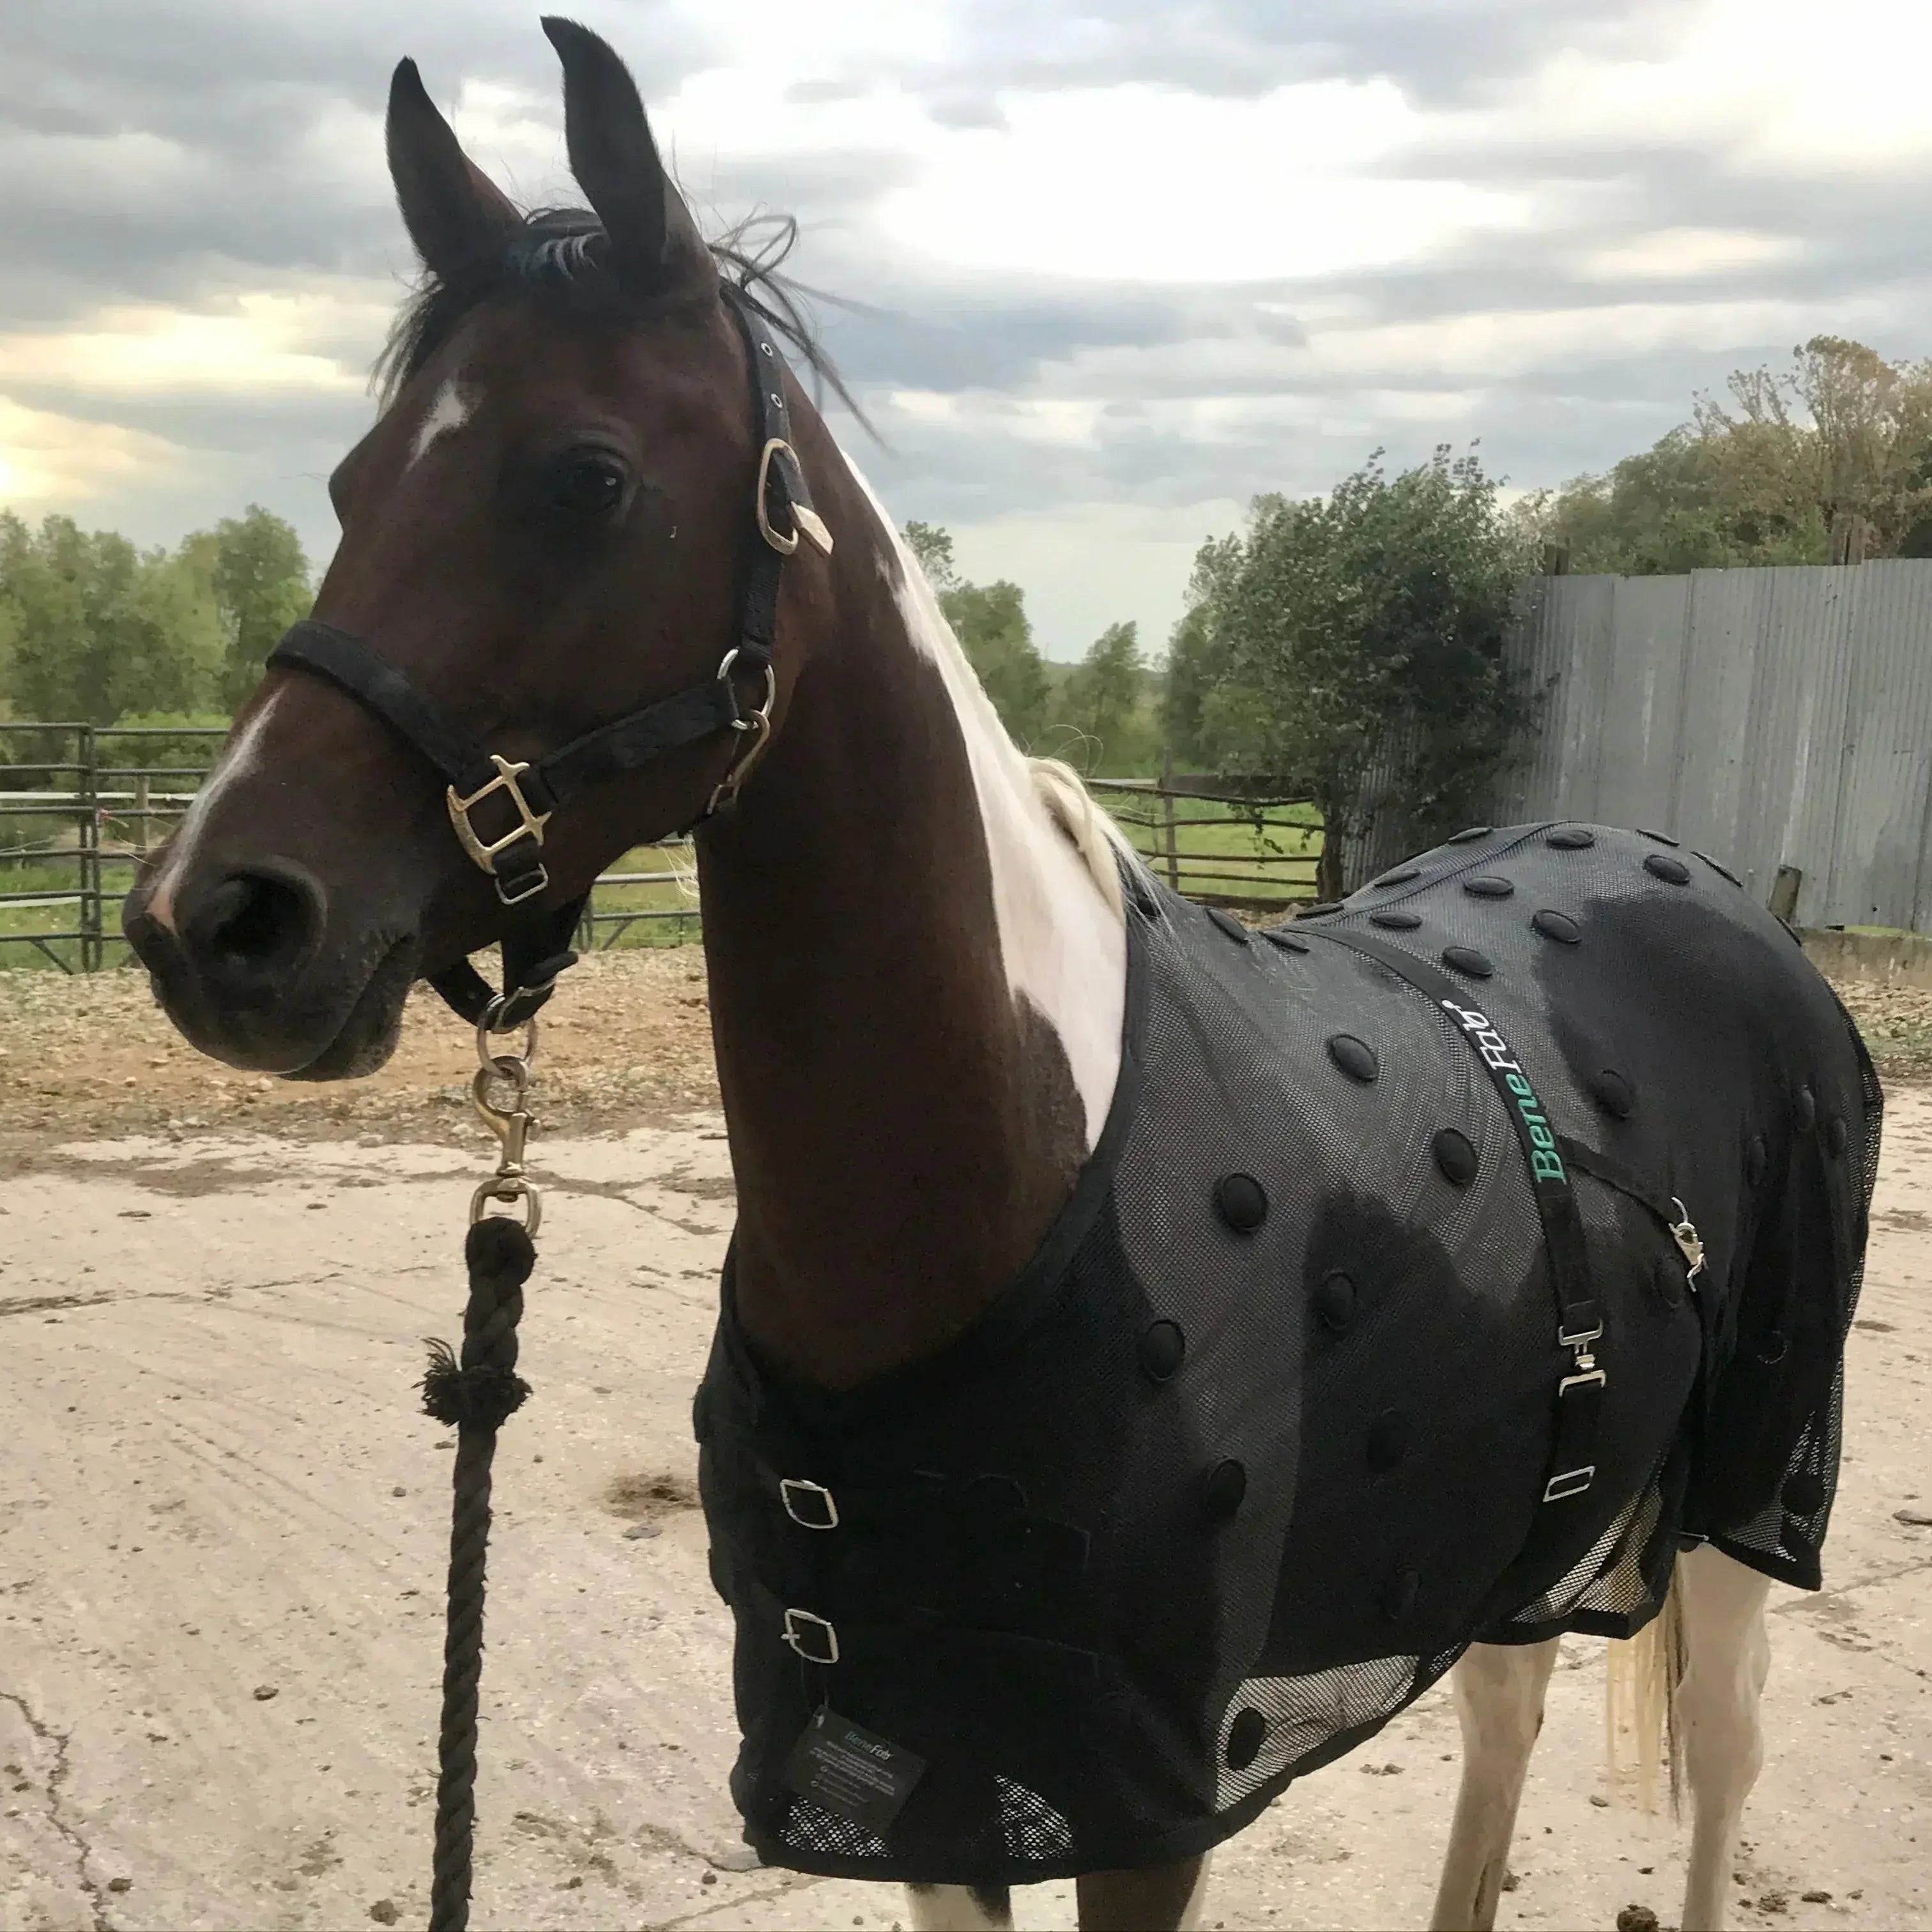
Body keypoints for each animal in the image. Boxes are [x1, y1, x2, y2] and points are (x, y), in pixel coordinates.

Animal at [122, 22, 1880, 1931]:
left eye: (586, 477)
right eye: (353, 483)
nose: (214, 920)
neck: (1018, 1158)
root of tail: (1708, 886)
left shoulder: (1145, 1795)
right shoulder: (923, 1768)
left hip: (1742, 1498)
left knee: (1723, 1761)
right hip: (1522, 1513)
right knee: (1510, 1707)